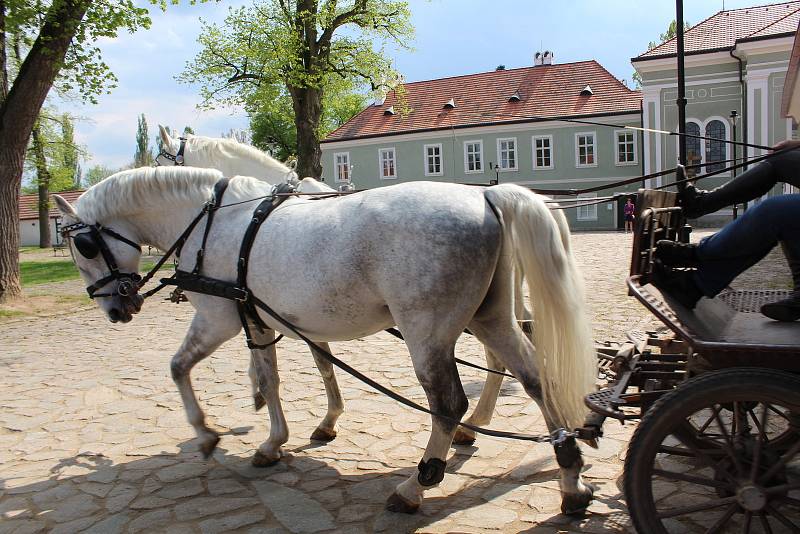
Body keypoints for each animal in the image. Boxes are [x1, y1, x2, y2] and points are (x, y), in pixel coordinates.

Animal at [54, 166, 592, 516]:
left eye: (82, 246)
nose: (115, 309)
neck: (215, 221)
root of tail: (485, 197)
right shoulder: (260, 322)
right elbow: (272, 379)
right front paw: (275, 441)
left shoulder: (218, 319)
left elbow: (178, 367)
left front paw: (206, 434)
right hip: (490, 318)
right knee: (535, 380)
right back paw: (570, 477)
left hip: (428, 334)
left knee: (448, 404)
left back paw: (416, 485)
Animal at [155, 127, 532, 446]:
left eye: (161, 159)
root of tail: (490, 199)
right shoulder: (297, 313)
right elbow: (321, 364)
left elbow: (310, 364)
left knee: (496, 358)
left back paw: (474, 424)